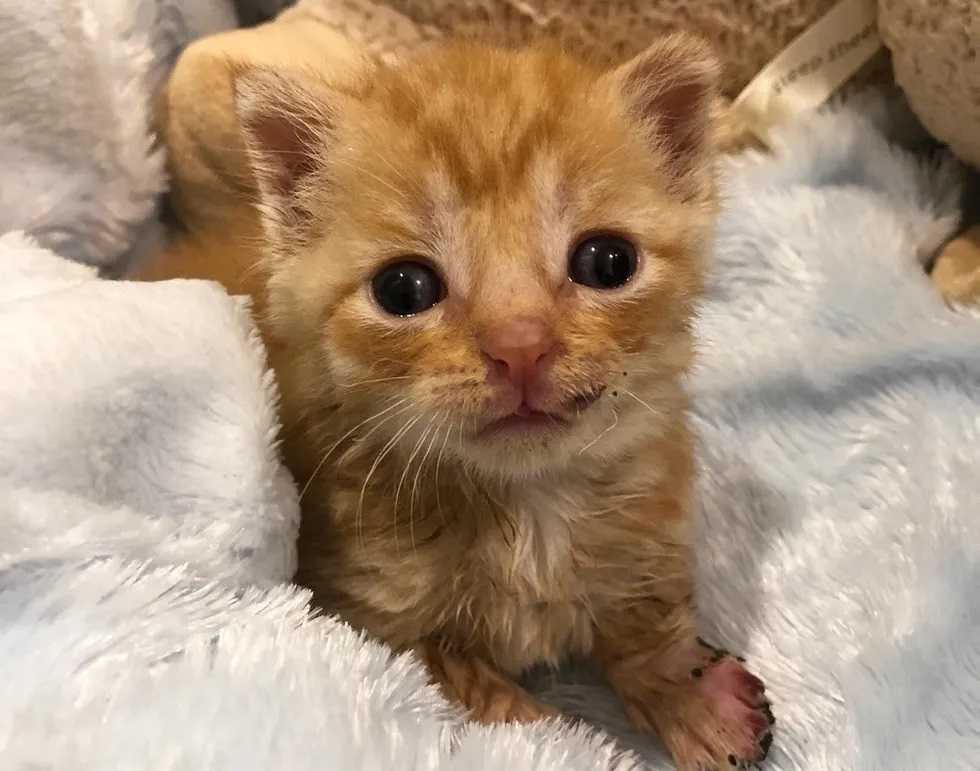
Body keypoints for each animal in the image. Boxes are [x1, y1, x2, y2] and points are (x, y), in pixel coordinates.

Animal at [147, 34, 772, 764]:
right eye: (404, 289)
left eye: (608, 261)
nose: (521, 347)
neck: (529, 508)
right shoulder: (365, 615)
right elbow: (480, 695)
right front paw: (567, 742)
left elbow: (644, 615)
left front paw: (692, 693)